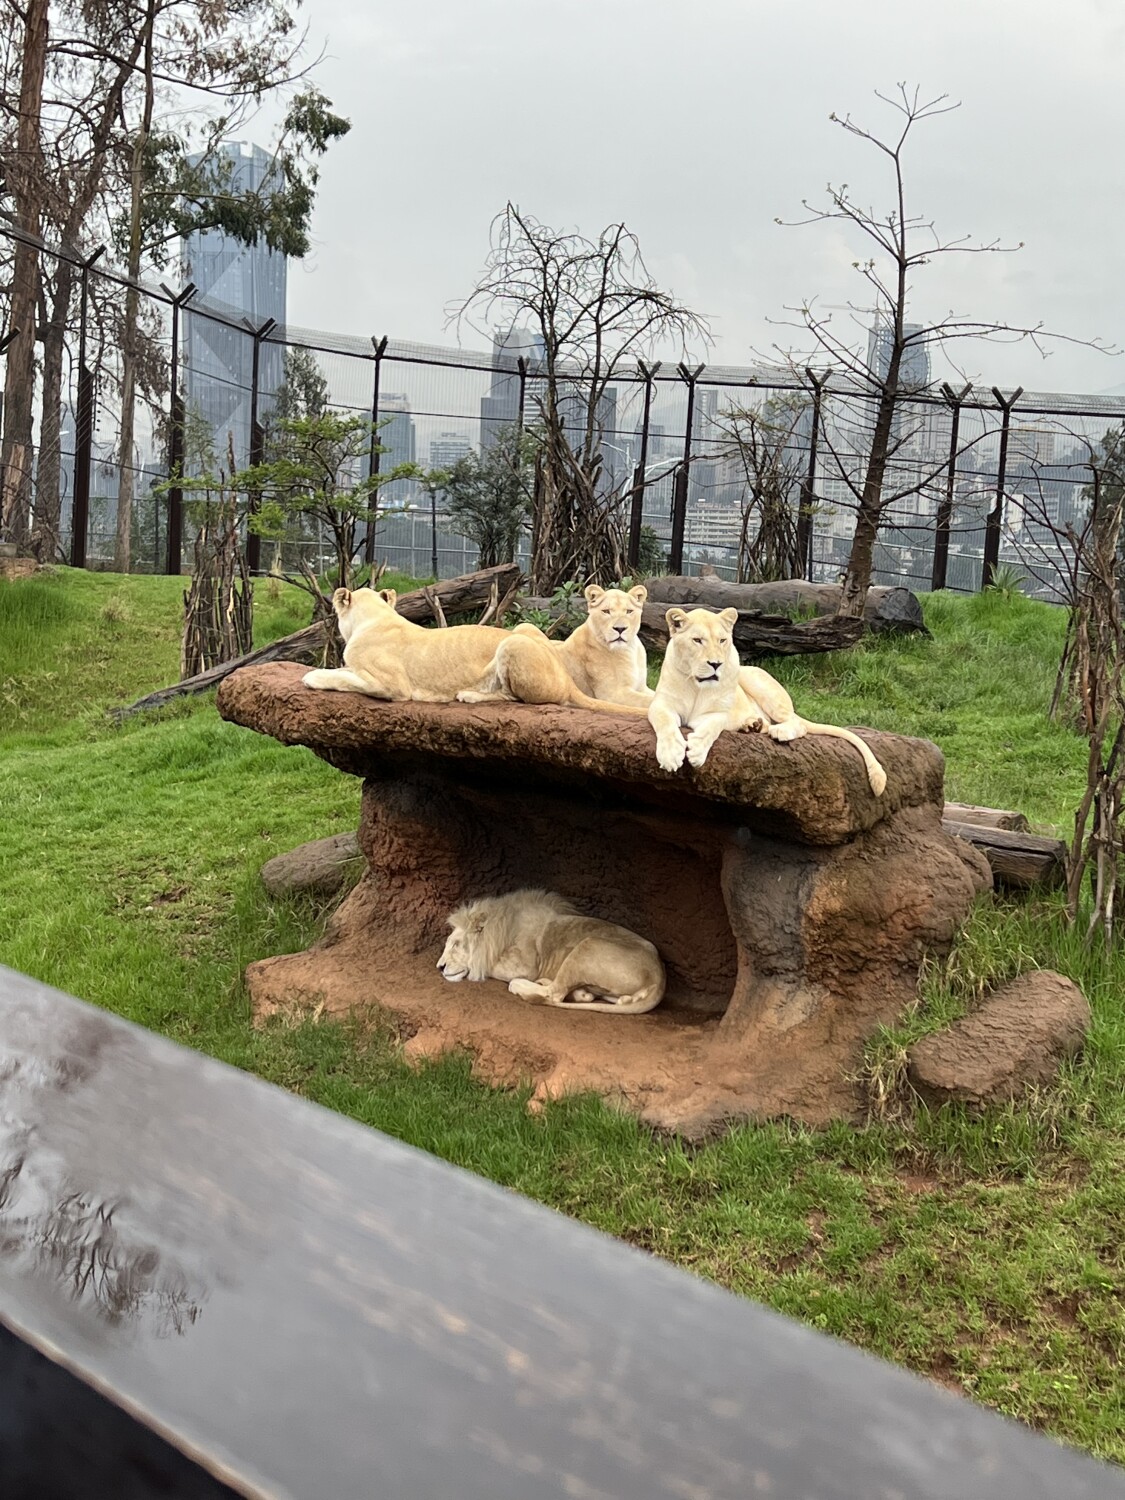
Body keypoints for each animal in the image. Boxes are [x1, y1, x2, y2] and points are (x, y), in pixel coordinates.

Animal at [303, 586, 643, 716]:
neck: (375, 617)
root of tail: (568, 680)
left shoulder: (393, 686)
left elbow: (346, 679)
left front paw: (313, 678)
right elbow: (344, 670)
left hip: (511, 644)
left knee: (514, 697)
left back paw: (469, 695)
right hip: (524, 630)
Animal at [437, 889, 666, 1015]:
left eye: (456, 944)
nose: (439, 967)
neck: (504, 925)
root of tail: (659, 976)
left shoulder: (524, 965)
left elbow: (485, 964)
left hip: (588, 944)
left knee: (554, 994)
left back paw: (522, 986)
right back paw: (581, 992)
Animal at [647, 605, 887, 794]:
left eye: (722, 640)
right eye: (697, 640)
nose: (716, 664)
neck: (697, 686)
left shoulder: (717, 713)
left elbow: (711, 728)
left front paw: (696, 751)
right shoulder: (661, 704)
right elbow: (665, 723)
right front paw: (670, 755)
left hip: (754, 680)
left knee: (797, 723)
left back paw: (778, 731)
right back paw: (752, 724)